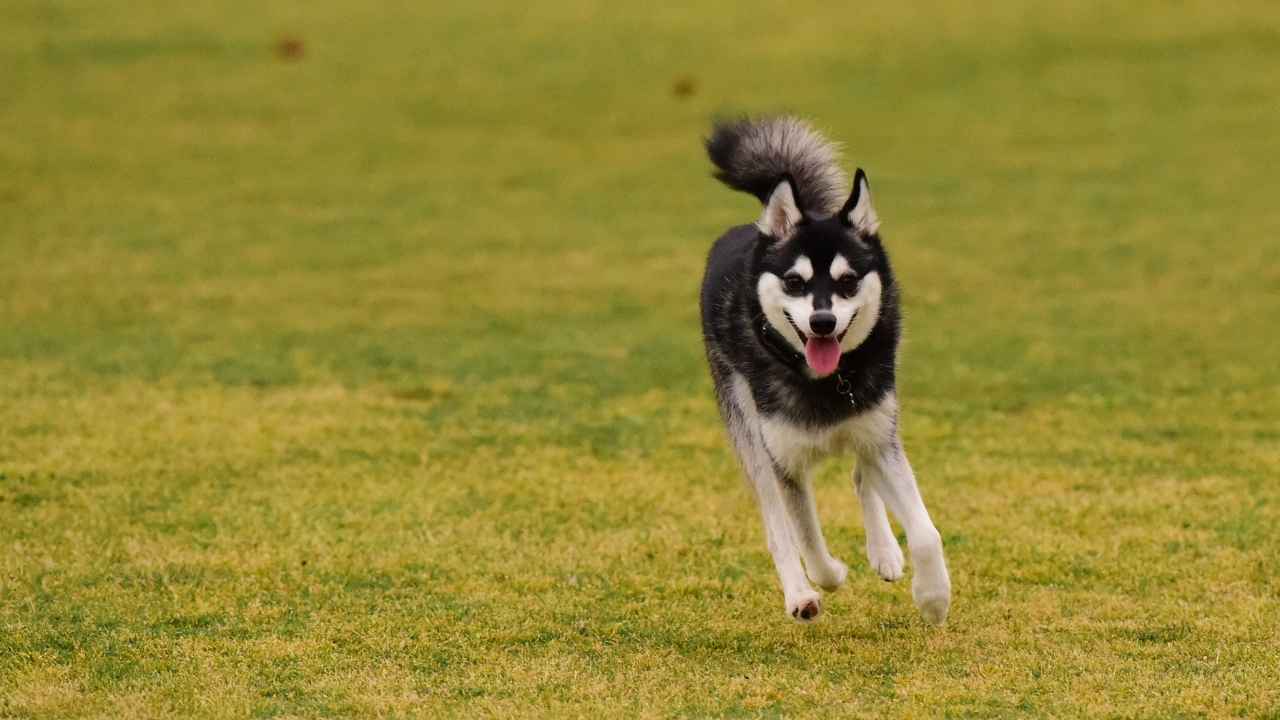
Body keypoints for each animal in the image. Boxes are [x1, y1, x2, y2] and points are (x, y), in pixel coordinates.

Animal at [701, 117, 952, 622]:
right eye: (795, 282)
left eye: (848, 281)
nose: (822, 322)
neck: (825, 382)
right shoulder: (785, 463)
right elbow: (807, 539)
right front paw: (830, 576)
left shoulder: (879, 435)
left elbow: (926, 532)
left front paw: (934, 598)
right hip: (749, 435)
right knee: (777, 527)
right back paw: (800, 594)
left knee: (860, 475)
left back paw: (885, 552)